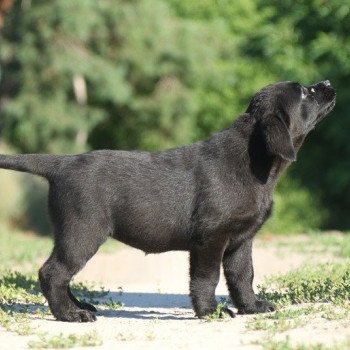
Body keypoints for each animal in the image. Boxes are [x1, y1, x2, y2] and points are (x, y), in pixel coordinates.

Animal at [0, 80, 336, 322]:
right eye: (304, 92)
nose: (328, 83)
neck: (254, 161)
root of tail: (62, 163)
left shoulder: (241, 241)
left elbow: (243, 276)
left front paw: (251, 307)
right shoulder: (210, 239)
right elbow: (206, 278)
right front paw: (209, 312)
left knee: (61, 275)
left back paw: (80, 306)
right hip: (82, 233)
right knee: (53, 273)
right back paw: (71, 315)